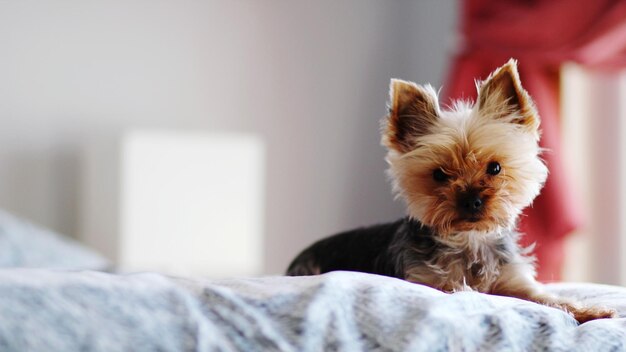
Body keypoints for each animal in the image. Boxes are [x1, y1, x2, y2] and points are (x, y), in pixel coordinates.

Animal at [288, 59, 616, 324]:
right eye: (439, 174)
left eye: (495, 168)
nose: (472, 200)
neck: (469, 241)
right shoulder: (428, 282)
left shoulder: (515, 280)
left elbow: (546, 298)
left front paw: (590, 311)